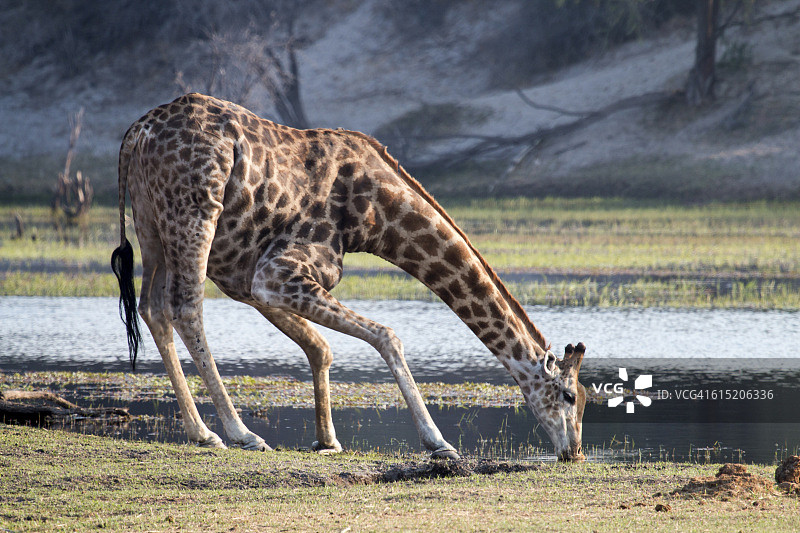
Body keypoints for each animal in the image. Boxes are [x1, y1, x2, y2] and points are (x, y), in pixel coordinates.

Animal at [111, 93, 587, 461]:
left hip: (152, 223)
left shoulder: (248, 278)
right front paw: (438, 442)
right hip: (195, 213)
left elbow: (320, 348)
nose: (574, 452)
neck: (376, 216)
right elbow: (387, 336)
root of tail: (135, 134)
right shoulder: (275, 273)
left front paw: (327, 440)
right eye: (570, 396)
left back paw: (201, 432)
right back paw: (240, 433)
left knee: (153, 307)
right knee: (185, 307)